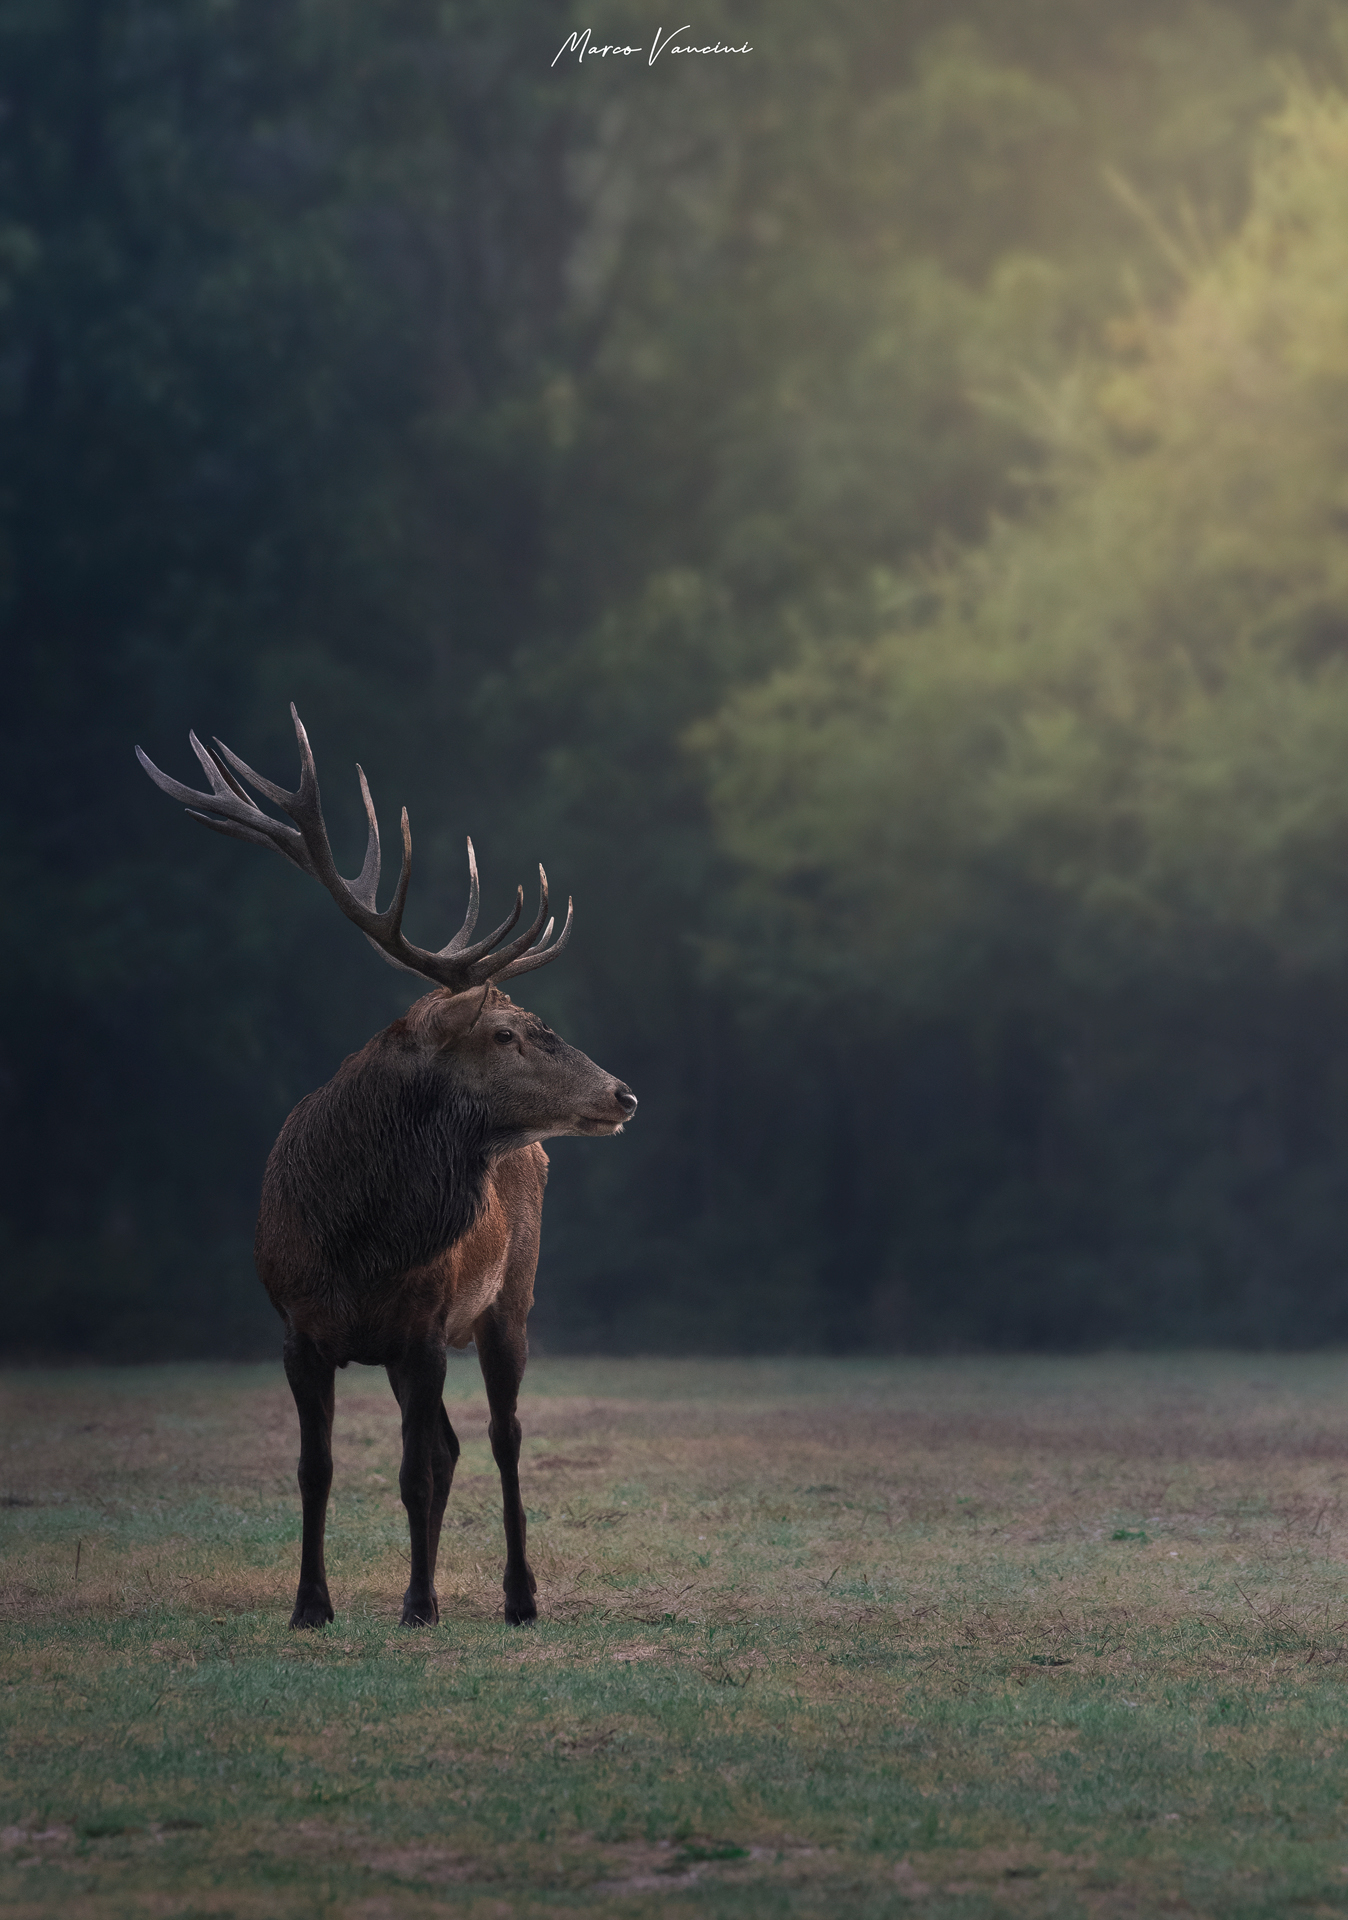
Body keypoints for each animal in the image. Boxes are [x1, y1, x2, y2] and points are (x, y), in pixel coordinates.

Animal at [136, 706, 637, 1629]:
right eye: (505, 1033)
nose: (622, 1094)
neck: (356, 1241)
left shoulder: (424, 1327)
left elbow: (415, 1473)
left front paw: (419, 1604)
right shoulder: (296, 1329)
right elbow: (317, 1471)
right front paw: (310, 1605)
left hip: (509, 1301)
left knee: (500, 1438)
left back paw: (517, 1597)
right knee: (451, 1443)